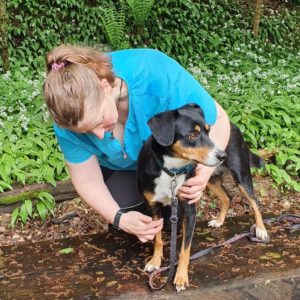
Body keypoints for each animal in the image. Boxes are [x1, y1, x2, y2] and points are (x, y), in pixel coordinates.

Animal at [137, 102, 268, 290]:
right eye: (192, 135)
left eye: (209, 132)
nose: (222, 155)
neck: (172, 171)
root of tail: (234, 125)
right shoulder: (153, 207)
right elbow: (158, 238)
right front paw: (155, 261)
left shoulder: (189, 210)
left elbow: (185, 249)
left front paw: (181, 277)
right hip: (210, 179)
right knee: (227, 197)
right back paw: (219, 221)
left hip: (241, 176)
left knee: (254, 201)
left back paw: (261, 230)